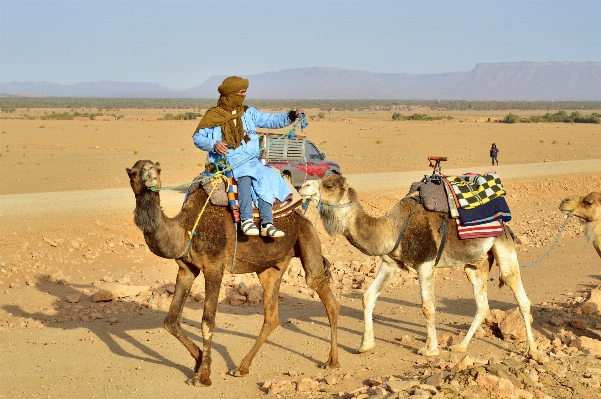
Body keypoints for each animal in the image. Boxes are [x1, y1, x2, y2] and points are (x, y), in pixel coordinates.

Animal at [126, 160, 340, 388]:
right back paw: (241, 367)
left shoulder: (214, 266)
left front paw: (204, 376)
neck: (185, 228)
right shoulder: (186, 268)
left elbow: (207, 321)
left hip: (307, 237)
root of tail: (301, 215)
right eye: (134, 173)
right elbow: (170, 320)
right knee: (271, 316)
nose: (150, 177)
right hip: (271, 267)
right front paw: (198, 361)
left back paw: (332, 361)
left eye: (157, 170)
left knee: (323, 292)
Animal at [300, 175, 540, 360]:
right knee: (482, 305)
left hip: (503, 246)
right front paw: (365, 345)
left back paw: (532, 351)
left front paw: (430, 350)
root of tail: (505, 225)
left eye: (329, 185)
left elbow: (428, 307)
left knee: (519, 293)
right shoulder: (391, 262)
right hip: (475, 264)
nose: (303, 186)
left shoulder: (425, 263)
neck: (393, 227)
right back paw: (460, 346)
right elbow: (367, 297)